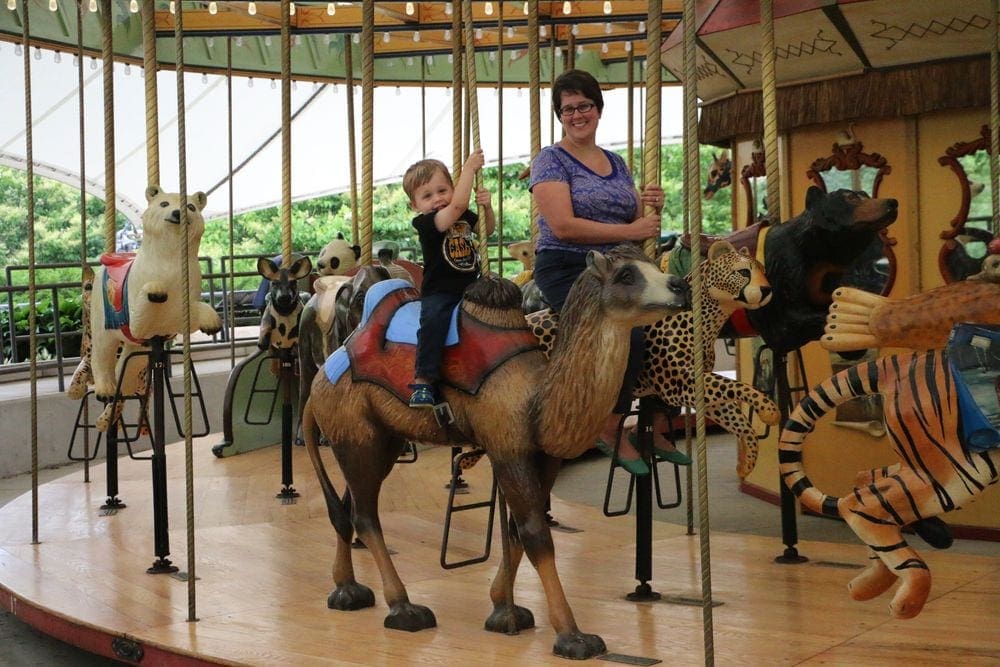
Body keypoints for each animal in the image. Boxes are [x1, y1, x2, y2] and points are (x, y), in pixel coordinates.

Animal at [780, 352, 1000, 620]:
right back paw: (904, 600)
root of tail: (904, 362)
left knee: (866, 481)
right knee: (860, 504)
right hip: (954, 469)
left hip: (930, 464)